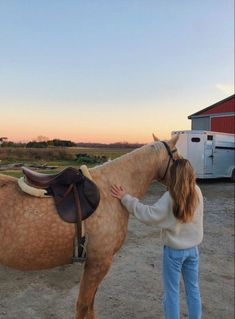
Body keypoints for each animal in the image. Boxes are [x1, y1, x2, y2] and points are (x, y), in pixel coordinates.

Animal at [0, 134, 179, 318]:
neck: (110, 191)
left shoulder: (96, 263)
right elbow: (83, 305)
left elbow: (91, 303)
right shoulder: (99, 263)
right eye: (177, 155)